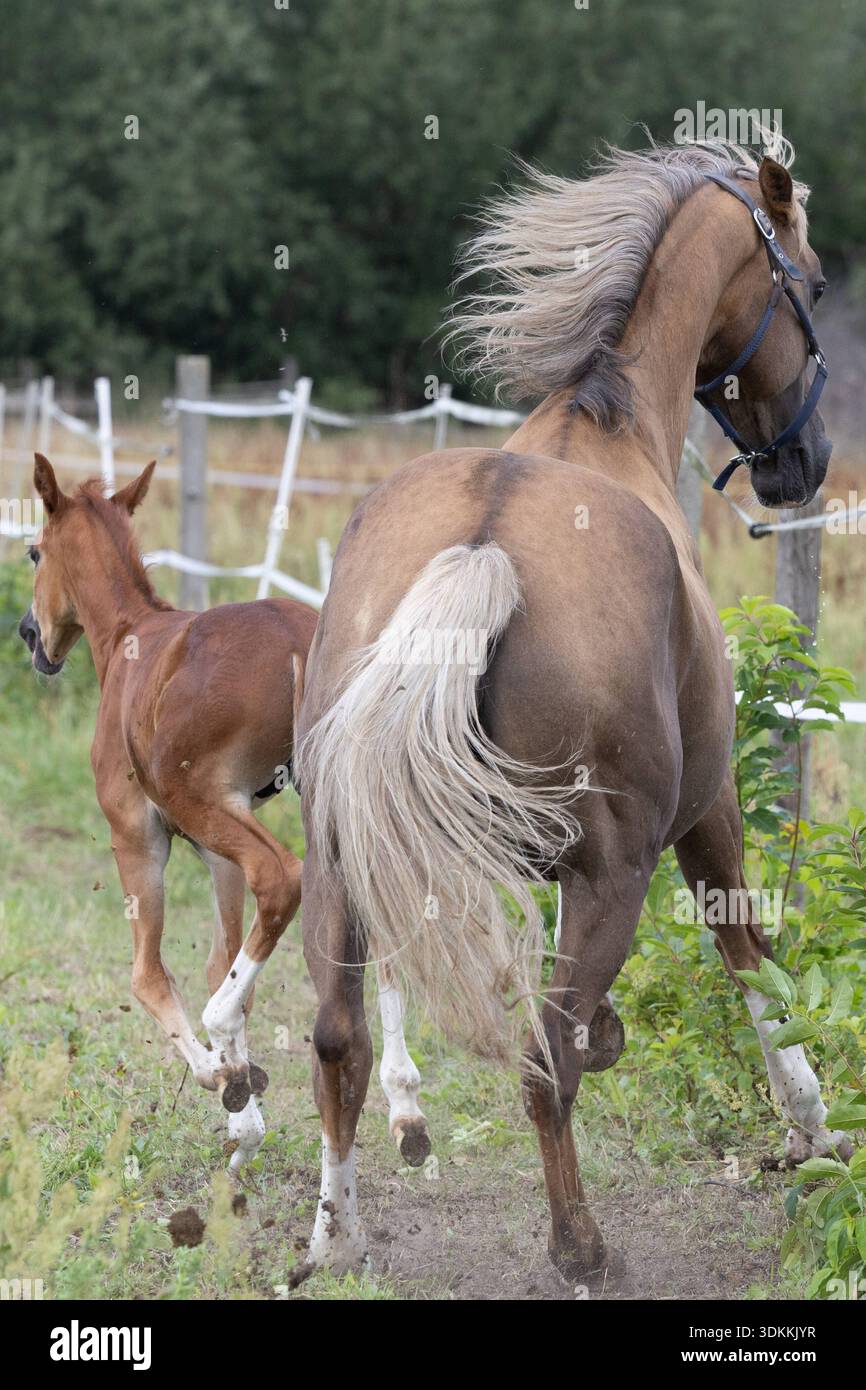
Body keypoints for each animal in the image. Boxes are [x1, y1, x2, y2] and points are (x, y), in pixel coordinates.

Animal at [294, 139, 849, 1282]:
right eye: (811, 286)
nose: (803, 464)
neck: (611, 428)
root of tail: (484, 545)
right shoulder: (707, 812)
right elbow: (749, 957)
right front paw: (809, 1127)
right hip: (618, 871)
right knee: (542, 1061)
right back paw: (579, 1244)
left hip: (341, 858)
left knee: (338, 1038)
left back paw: (336, 1235)